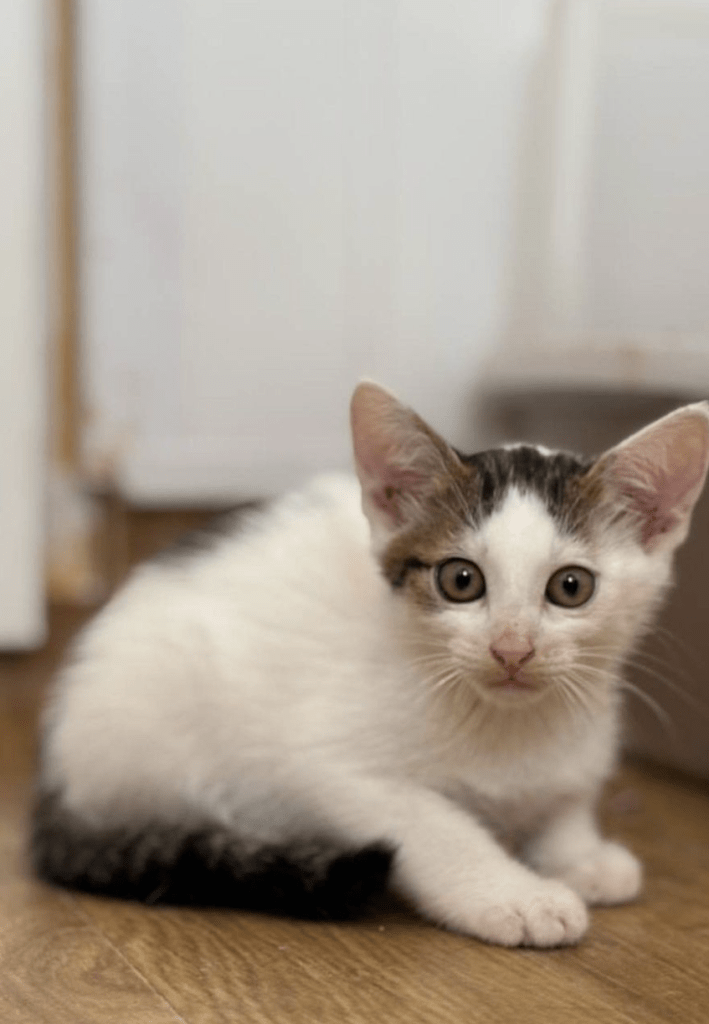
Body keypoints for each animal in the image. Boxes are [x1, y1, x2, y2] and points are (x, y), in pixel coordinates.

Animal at [31, 385, 709, 950]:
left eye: (571, 587)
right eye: (461, 580)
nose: (512, 649)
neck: (507, 724)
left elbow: (566, 796)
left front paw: (580, 855)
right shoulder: (333, 767)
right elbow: (435, 827)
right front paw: (517, 896)